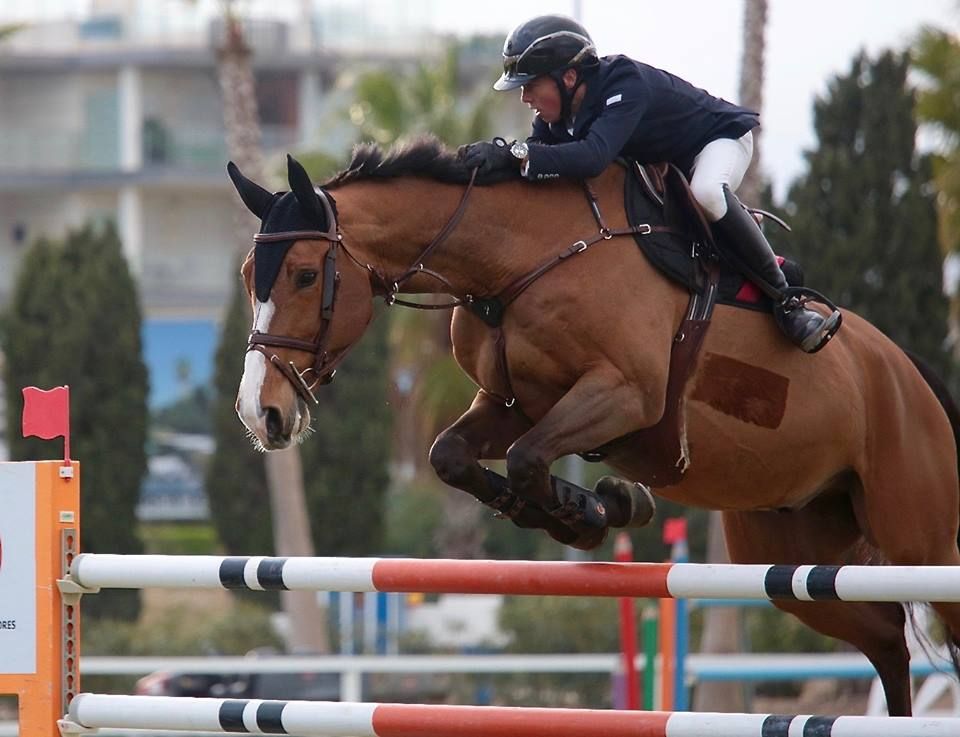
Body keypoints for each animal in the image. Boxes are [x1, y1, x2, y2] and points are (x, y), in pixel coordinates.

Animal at [229, 137, 960, 712]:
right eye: (247, 276)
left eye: (303, 275)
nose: (260, 413)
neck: (520, 258)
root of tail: (912, 373)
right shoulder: (514, 405)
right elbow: (453, 455)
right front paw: (591, 507)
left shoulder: (625, 397)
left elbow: (529, 457)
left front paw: (593, 509)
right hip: (793, 556)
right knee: (887, 636)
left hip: (918, 539)